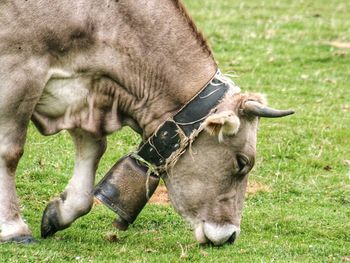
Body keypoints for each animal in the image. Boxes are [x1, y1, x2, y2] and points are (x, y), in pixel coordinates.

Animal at [0, 0, 292, 248]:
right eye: (242, 162)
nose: (231, 235)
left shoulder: (86, 94)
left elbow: (93, 150)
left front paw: (61, 212)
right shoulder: (19, 69)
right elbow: (10, 152)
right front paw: (14, 228)